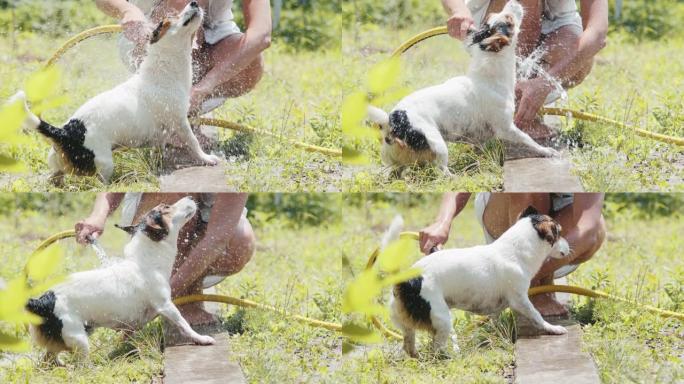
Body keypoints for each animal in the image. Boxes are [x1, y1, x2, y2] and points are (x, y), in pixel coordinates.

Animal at [12, 1, 219, 183]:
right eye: (169, 19)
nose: (194, 2)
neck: (163, 67)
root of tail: (64, 132)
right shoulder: (179, 121)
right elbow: (193, 142)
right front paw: (207, 158)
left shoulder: (161, 132)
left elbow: (158, 149)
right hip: (103, 165)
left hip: (59, 165)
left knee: (55, 178)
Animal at [26, 196, 214, 364]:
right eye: (166, 207)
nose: (191, 197)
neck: (146, 259)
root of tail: (44, 299)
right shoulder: (165, 305)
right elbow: (184, 323)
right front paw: (201, 338)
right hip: (78, 336)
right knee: (81, 366)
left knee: (48, 359)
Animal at [368, 0, 556, 176]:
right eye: (509, 20)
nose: (514, 2)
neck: (489, 76)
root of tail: (392, 120)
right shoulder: (506, 128)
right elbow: (528, 139)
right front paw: (546, 150)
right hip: (437, 144)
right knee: (441, 170)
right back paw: (454, 176)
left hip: (398, 159)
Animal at [388, 206, 568, 358]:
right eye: (558, 233)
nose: (569, 246)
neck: (515, 250)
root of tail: (408, 279)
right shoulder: (520, 300)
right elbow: (536, 315)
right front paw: (552, 328)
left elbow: (495, 319)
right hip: (442, 318)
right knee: (437, 348)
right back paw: (450, 357)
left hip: (407, 324)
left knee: (409, 345)